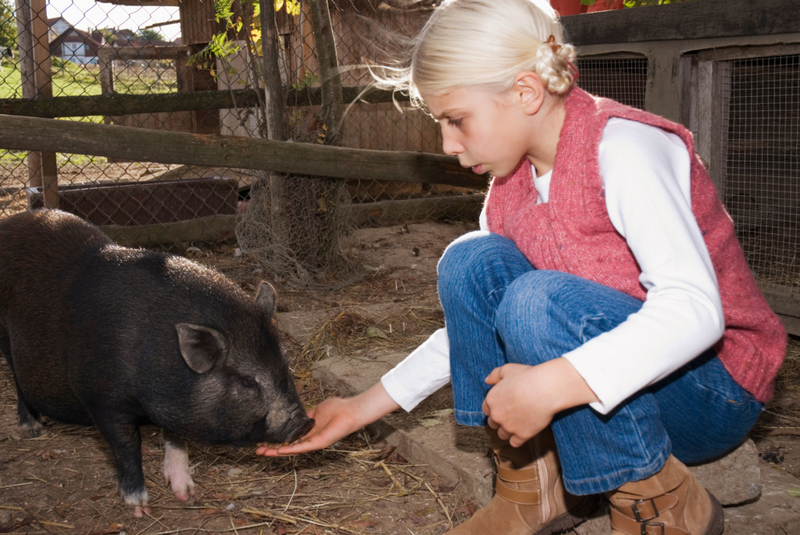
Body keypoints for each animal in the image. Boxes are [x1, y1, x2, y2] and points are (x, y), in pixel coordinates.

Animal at [0, 209, 312, 516]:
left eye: (284, 363)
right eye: (247, 381)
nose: (305, 424)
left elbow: (175, 438)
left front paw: (186, 493)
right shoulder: (103, 400)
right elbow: (127, 447)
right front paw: (139, 507)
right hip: (6, 341)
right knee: (17, 379)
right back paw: (32, 430)